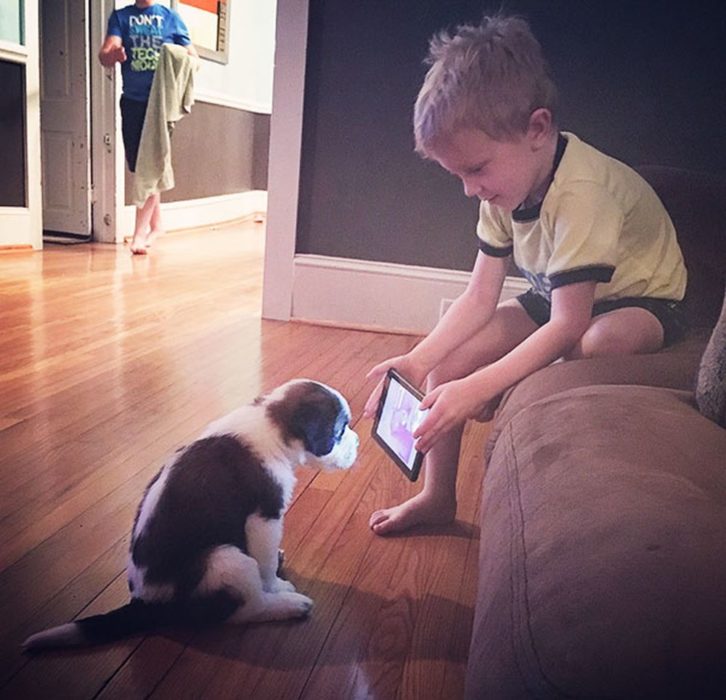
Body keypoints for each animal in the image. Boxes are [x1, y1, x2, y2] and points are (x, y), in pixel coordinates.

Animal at [24, 378, 360, 652]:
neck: (270, 424)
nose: (357, 442)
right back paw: (288, 605)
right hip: (224, 559)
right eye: (340, 431)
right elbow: (263, 565)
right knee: (243, 609)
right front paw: (276, 584)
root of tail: (143, 604)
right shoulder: (263, 519)